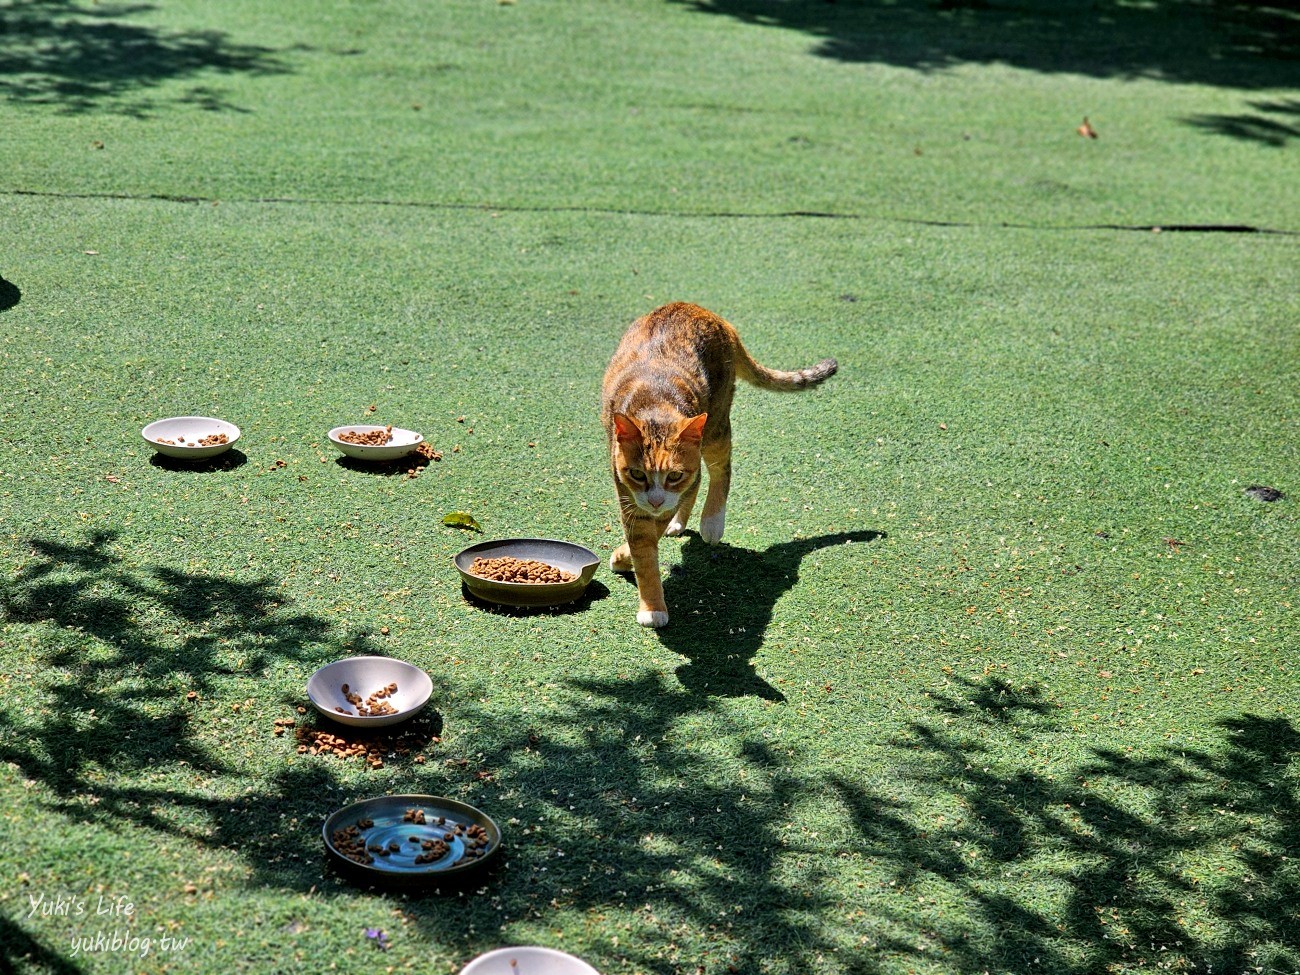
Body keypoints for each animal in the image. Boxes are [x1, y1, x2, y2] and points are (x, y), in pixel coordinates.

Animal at [600, 301, 837, 629]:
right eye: (637, 474)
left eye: (674, 475)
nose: (656, 501)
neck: (655, 405)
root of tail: (706, 312)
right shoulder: (629, 494)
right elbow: (643, 547)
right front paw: (644, 587)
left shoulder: (669, 490)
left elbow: (650, 536)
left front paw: (649, 602)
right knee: (697, 482)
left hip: (715, 425)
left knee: (719, 469)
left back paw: (711, 522)